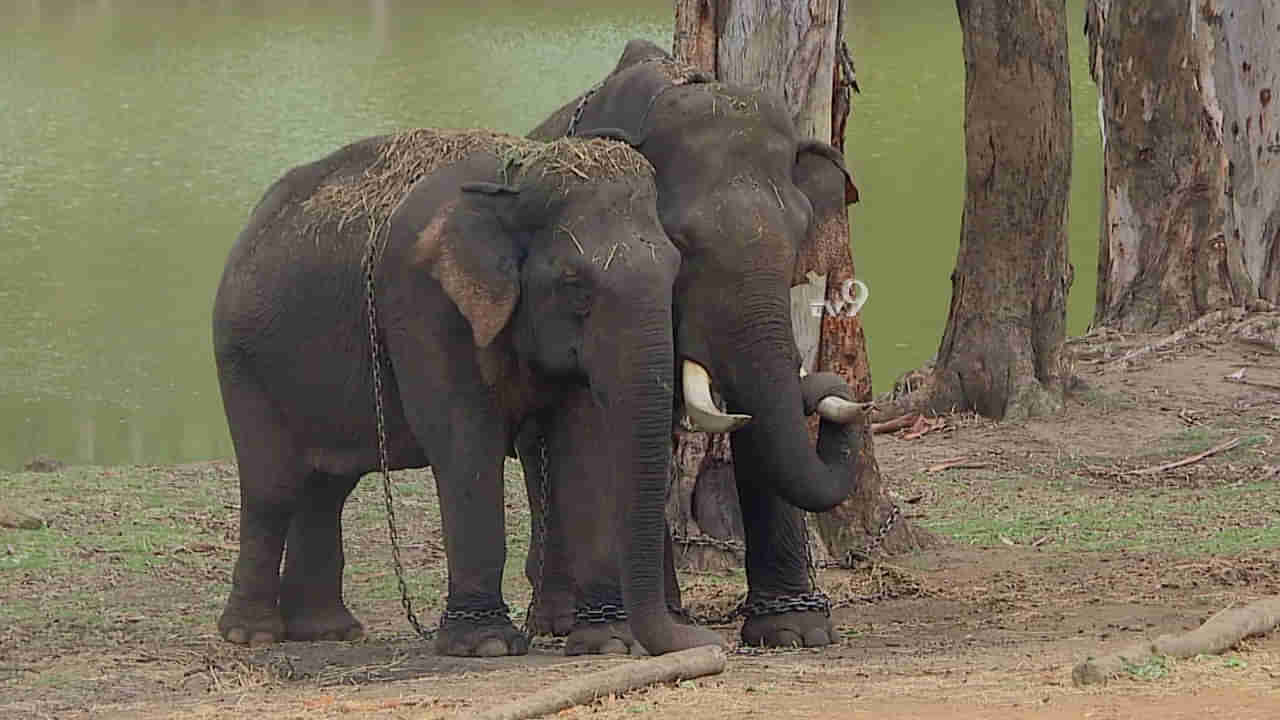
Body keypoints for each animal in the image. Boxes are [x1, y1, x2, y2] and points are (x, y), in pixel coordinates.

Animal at [215, 124, 727, 655]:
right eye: (574, 284)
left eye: (674, 270)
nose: (708, 638)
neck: (514, 181)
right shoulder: (424, 301)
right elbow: (465, 440)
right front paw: (488, 646)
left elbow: (582, 445)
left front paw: (607, 643)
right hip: (241, 361)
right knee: (273, 487)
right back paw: (252, 634)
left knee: (326, 487)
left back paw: (327, 632)